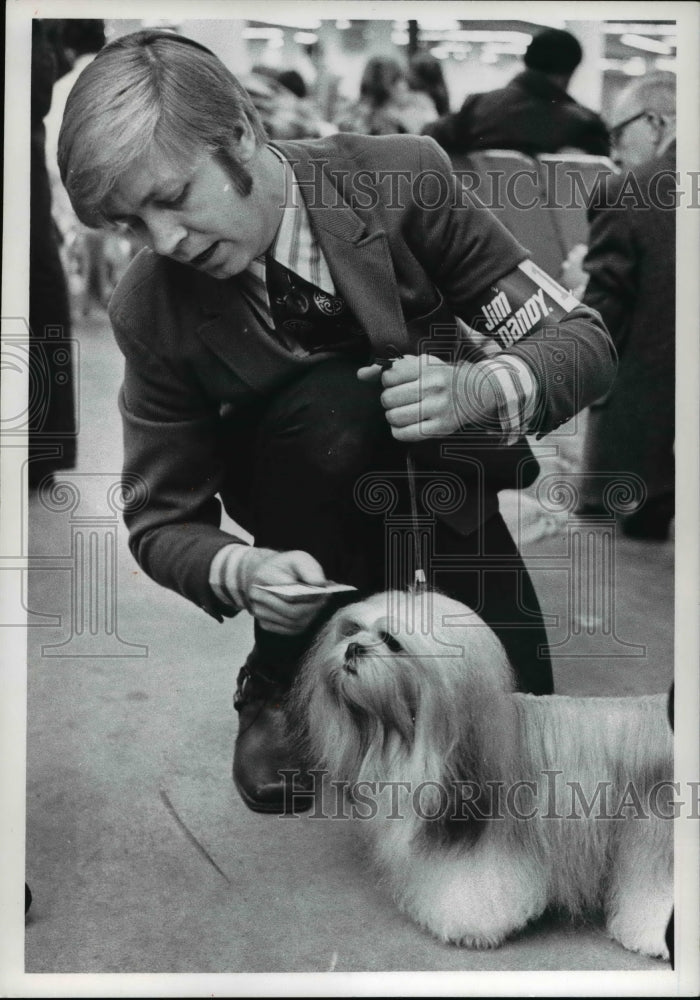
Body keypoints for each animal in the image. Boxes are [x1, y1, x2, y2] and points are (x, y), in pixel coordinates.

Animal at [288, 588, 676, 956]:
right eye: (352, 630)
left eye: (392, 641)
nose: (352, 648)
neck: (415, 739)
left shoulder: (485, 848)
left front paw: (468, 929)